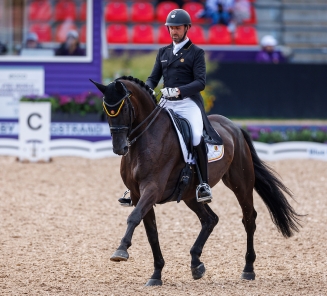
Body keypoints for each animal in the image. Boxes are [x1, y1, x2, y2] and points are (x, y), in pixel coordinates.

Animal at [90, 76, 302, 286]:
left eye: (124, 108)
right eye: (106, 110)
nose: (120, 148)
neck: (146, 138)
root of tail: (233, 126)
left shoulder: (152, 189)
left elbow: (134, 217)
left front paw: (121, 250)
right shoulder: (137, 194)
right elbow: (151, 232)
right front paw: (156, 274)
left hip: (241, 183)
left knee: (248, 219)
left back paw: (248, 269)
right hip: (191, 194)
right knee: (210, 219)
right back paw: (196, 263)